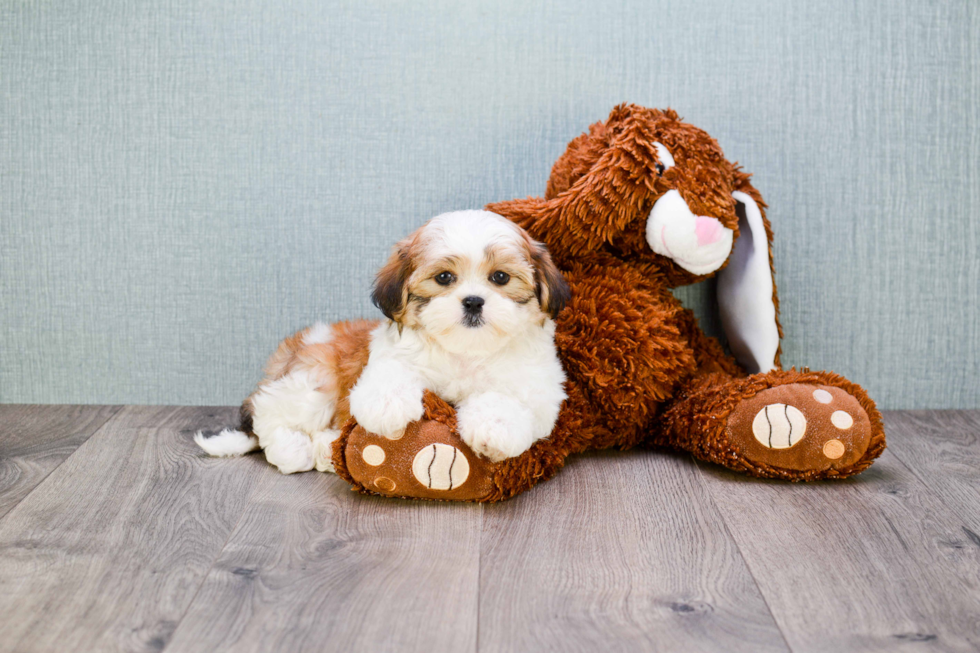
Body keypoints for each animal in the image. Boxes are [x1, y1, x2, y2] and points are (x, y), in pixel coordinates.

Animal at [195, 209, 572, 474]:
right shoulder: (389, 356)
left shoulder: (538, 389)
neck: (465, 351)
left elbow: (505, 400)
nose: (473, 301)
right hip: (311, 382)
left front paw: (493, 429)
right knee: (269, 412)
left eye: (500, 277)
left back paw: (325, 450)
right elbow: (391, 376)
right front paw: (387, 408)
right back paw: (294, 448)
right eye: (444, 277)